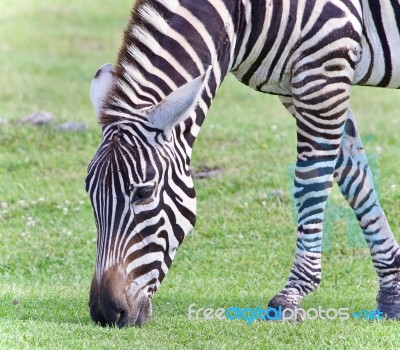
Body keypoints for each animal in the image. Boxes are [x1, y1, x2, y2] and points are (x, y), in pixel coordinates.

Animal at [86, 0, 400, 328]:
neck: (242, 15)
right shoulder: (295, 85)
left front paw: (292, 295)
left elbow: (311, 180)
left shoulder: (323, 68)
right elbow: (354, 176)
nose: (105, 313)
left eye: (144, 193)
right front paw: (392, 291)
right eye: (89, 192)